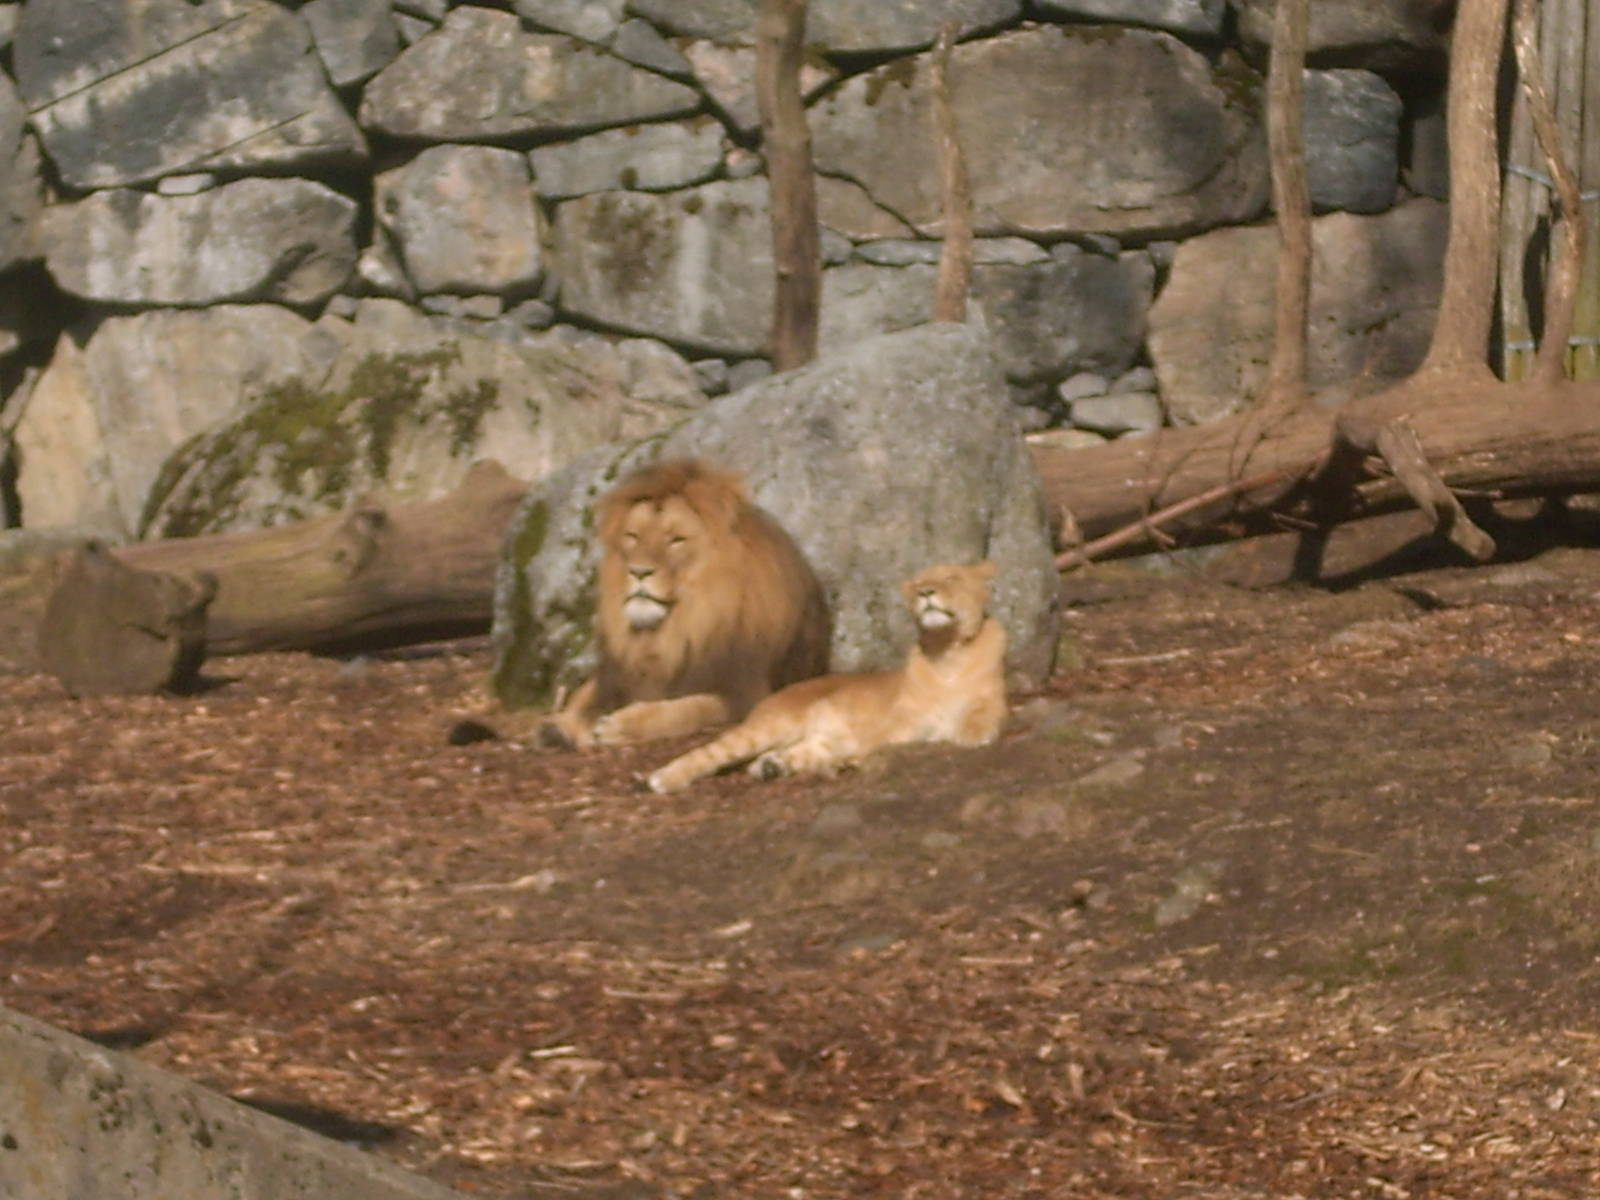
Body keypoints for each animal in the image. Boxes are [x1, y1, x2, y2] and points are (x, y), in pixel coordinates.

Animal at [538, 458, 831, 750]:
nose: (639, 571)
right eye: (632, 536)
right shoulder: (614, 681)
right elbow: (591, 701)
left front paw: (623, 723)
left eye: (676, 540)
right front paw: (564, 725)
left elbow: (689, 707)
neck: (680, 628)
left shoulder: (746, 695)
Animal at [645, 560, 1006, 793]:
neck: (949, 651)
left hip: (815, 739)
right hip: (769, 726)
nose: (926, 592)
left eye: (952, 577)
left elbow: (984, 713)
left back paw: (772, 766)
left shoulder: (995, 699)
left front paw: (972, 732)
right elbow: (896, 736)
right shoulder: (894, 724)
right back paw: (663, 779)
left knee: (799, 752)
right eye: (918, 585)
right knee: (708, 753)